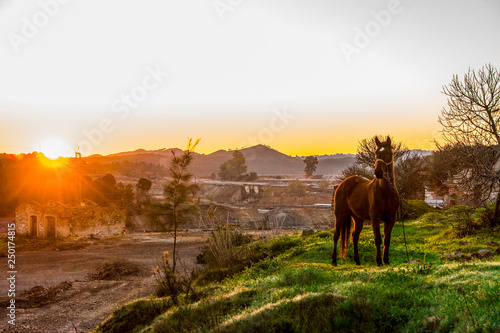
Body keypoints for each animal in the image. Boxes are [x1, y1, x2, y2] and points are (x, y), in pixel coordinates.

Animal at [332, 134, 398, 266]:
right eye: (376, 153)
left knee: (354, 236)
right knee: (336, 235)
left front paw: (386, 261)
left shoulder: (391, 218)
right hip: (340, 215)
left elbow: (386, 239)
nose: (378, 172)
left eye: (388, 152)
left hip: (358, 218)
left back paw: (357, 261)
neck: (386, 191)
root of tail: (341, 184)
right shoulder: (375, 218)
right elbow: (377, 239)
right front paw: (379, 261)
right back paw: (334, 261)